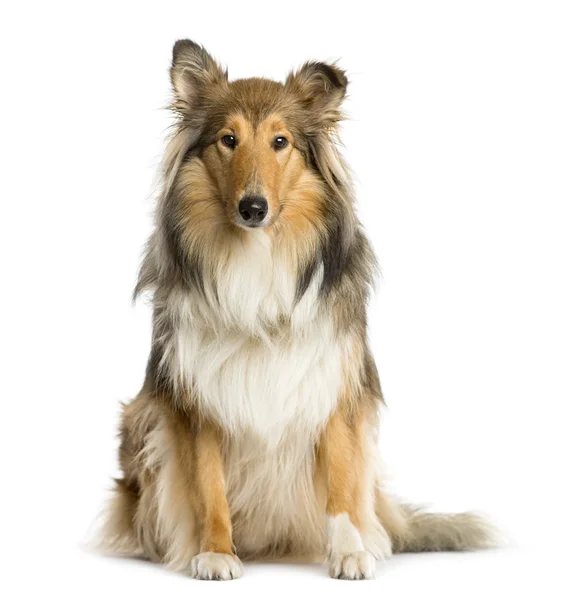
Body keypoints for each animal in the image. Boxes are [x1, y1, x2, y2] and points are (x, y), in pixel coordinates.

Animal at [100, 39, 500, 580]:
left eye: (280, 142)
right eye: (228, 140)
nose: (253, 208)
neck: (258, 255)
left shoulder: (333, 382)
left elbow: (341, 480)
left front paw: (349, 552)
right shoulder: (195, 397)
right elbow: (208, 485)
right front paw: (215, 551)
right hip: (140, 418)